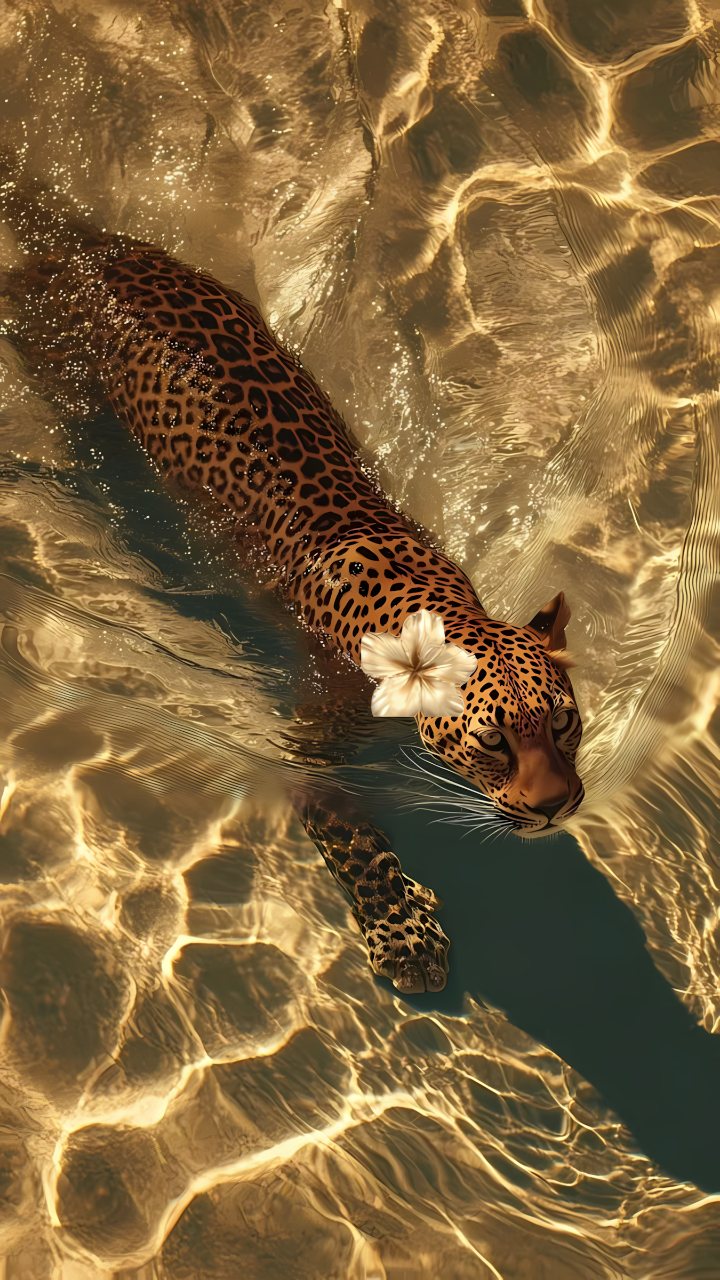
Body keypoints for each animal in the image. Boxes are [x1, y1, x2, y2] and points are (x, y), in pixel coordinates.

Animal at [0, 171, 584, 994]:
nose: (558, 806)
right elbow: (355, 838)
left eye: (564, 723)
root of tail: (90, 249)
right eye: (494, 743)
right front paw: (407, 937)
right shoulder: (308, 753)